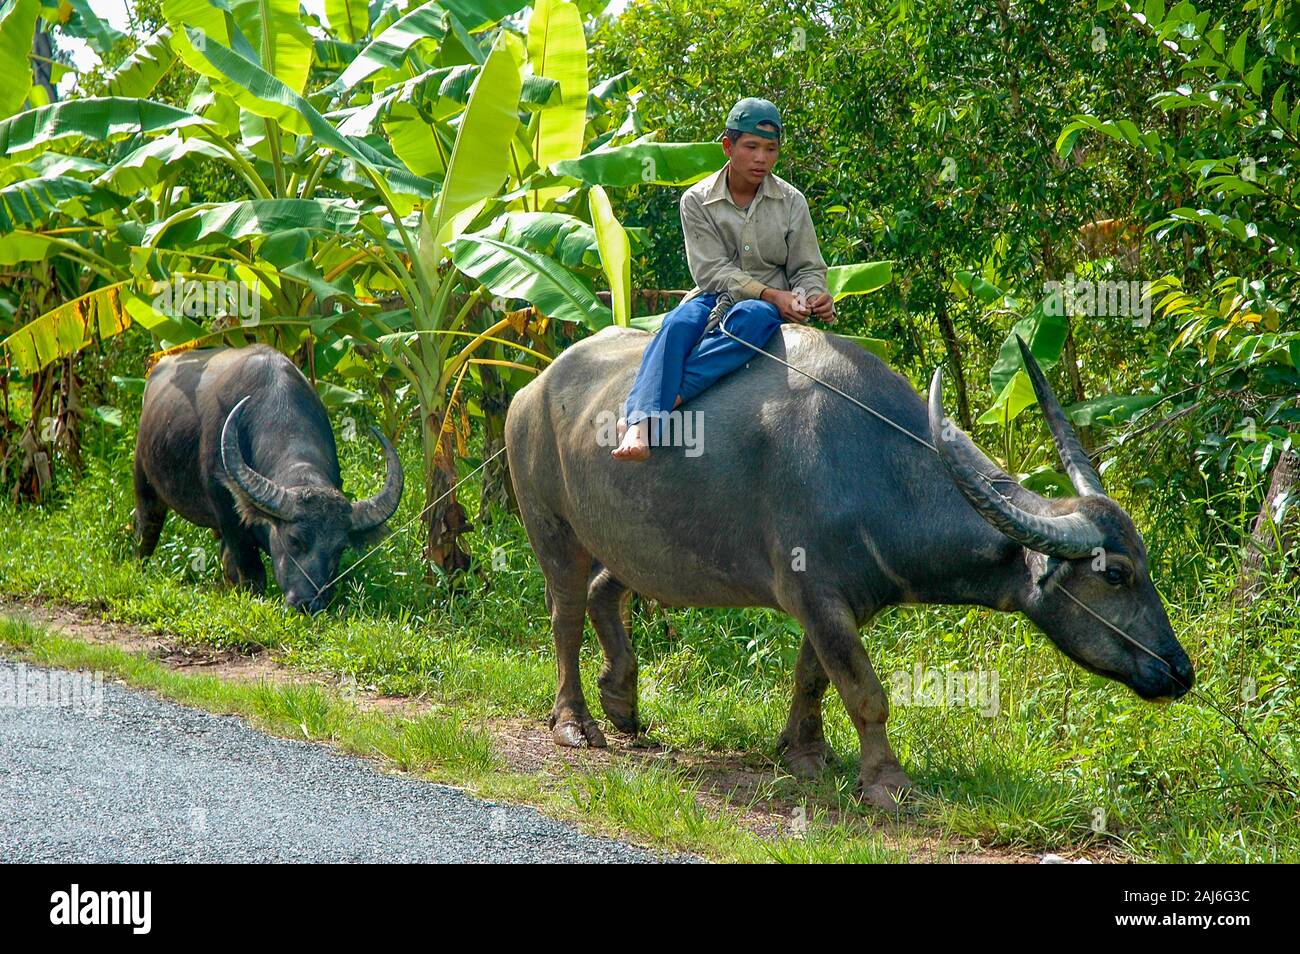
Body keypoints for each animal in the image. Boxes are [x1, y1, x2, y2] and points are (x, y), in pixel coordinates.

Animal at [134, 345, 403, 612]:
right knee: (146, 529)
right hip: (144, 480)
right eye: (294, 539)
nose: (309, 604)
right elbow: (251, 569)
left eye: (340, 548)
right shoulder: (228, 514)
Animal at [504, 324, 1194, 810]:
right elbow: (865, 692)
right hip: (551, 526)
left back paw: (621, 700)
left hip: (636, 544)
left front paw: (804, 752)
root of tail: (533, 390)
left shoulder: (836, 604)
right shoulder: (815, 593)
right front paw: (887, 781)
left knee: (606, 591)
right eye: (1115, 573)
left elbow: (813, 674)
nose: (1179, 670)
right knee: (566, 616)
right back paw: (575, 722)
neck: (878, 465)